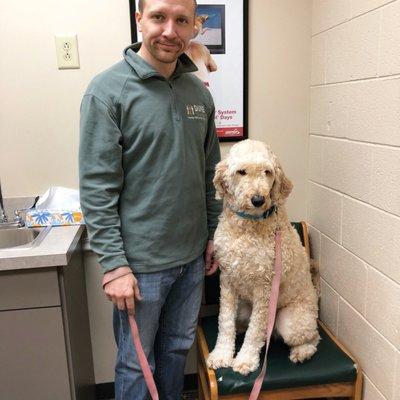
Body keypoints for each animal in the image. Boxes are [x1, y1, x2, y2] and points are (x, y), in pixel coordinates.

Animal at [208, 140, 320, 376]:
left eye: (267, 172)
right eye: (241, 172)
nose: (258, 199)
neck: (246, 227)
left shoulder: (265, 288)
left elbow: (256, 331)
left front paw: (245, 360)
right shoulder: (227, 281)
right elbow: (225, 322)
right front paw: (222, 355)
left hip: (291, 322)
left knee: (313, 337)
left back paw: (301, 352)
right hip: (244, 308)